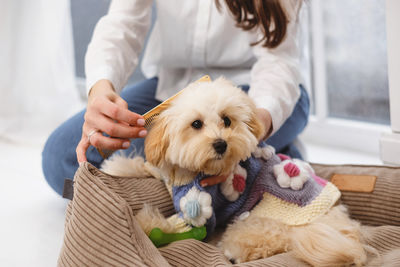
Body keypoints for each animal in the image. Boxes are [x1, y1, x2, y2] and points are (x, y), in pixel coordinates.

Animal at [101, 77, 368, 266]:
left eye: (227, 120)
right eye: (196, 124)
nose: (221, 144)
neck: (191, 172)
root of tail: (338, 222)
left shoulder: (199, 210)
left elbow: (174, 226)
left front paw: (144, 223)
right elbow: (149, 167)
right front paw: (119, 166)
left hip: (262, 219)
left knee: (275, 239)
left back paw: (234, 252)